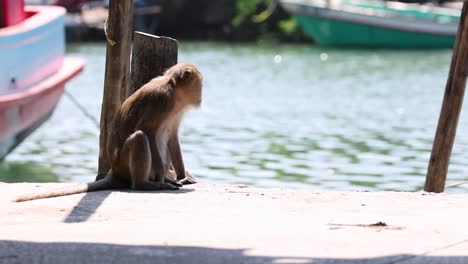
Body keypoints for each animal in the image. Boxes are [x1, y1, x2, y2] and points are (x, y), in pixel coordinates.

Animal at [13, 62, 201, 202]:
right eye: (199, 86)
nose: (200, 97)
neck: (173, 91)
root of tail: (114, 170)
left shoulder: (176, 109)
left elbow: (172, 137)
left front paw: (181, 176)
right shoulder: (163, 100)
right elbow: (146, 129)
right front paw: (164, 176)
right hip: (125, 165)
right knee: (140, 137)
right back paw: (146, 184)